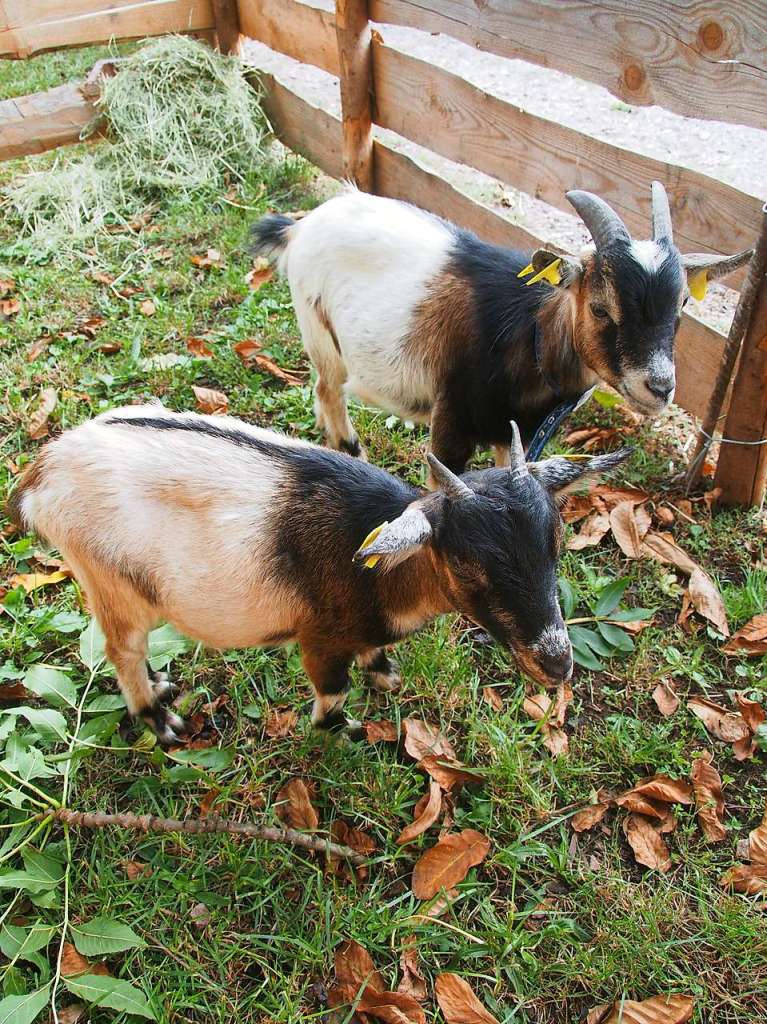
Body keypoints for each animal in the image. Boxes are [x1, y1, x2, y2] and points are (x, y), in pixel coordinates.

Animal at [7, 403, 626, 741]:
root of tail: (43, 472)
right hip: (109, 581)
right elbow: (334, 692)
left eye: (555, 543)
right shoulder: (319, 638)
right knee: (122, 650)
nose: (558, 665)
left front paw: (385, 674)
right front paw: (342, 728)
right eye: (469, 565)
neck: (380, 573)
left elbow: (374, 658)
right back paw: (158, 717)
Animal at [250, 184, 749, 471]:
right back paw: (350, 450)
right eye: (600, 308)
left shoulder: (519, 437)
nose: (659, 387)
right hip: (319, 330)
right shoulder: (450, 427)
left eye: (681, 306)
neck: (529, 335)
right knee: (329, 389)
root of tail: (301, 227)